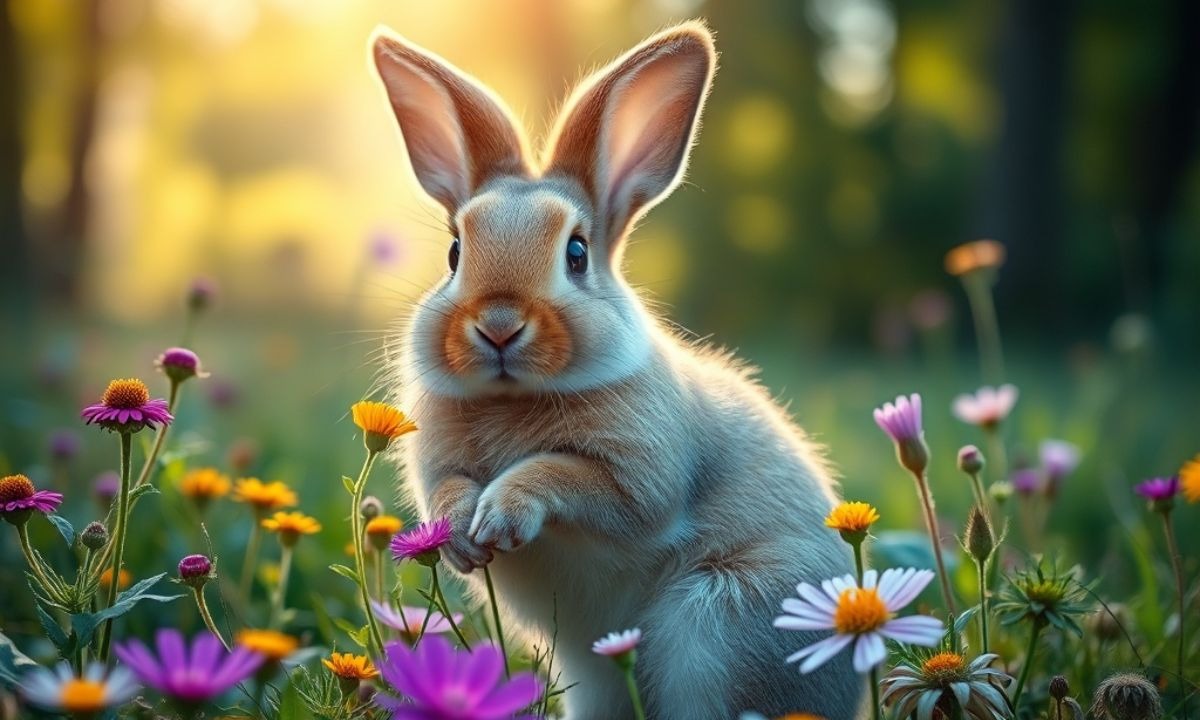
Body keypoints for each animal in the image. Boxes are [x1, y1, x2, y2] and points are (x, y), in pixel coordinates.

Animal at [372, 19, 865, 720]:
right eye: (454, 252)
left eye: (577, 253)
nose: (498, 325)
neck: (513, 396)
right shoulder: (439, 467)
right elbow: (448, 491)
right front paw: (464, 534)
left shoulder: (639, 480)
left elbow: (568, 477)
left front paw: (500, 515)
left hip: (716, 627)